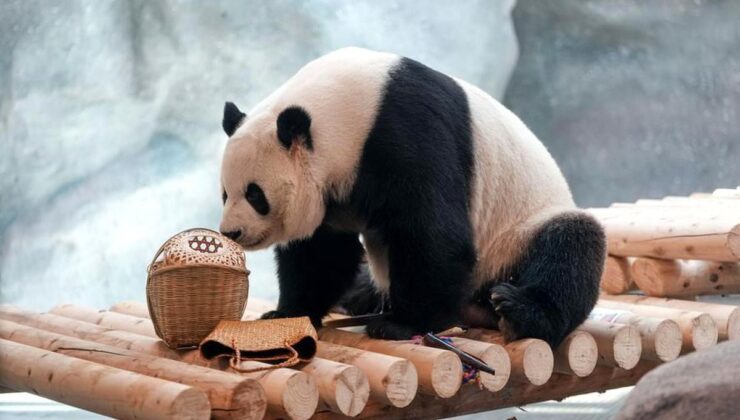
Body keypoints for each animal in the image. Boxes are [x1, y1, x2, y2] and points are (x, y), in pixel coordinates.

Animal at [218, 47, 605, 346]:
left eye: (255, 194)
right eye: (225, 193)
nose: (231, 232)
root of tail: (475, 305)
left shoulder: (407, 132)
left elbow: (432, 233)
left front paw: (401, 323)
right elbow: (321, 252)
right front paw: (285, 313)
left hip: (515, 236)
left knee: (571, 245)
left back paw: (517, 310)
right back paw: (360, 298)